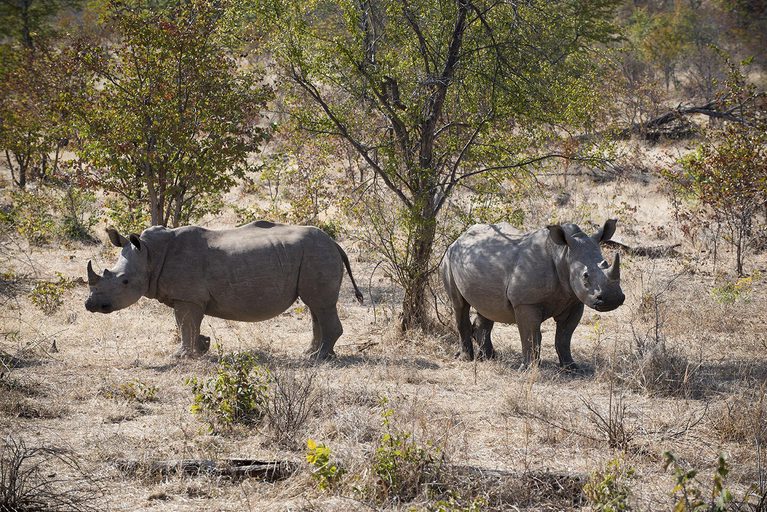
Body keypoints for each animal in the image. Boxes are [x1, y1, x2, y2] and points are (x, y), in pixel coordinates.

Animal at [85, 221, 363, 359]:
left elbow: (185, 324)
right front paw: (201, 348)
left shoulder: (187, 297)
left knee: (320, 305)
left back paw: (319, 358)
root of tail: (334, 242)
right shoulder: (188, 298)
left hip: (318, 253)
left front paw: (181, 356)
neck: (150, 255)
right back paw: (310, 353)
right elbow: (188, 325)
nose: (90, 305)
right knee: (315, 306)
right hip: (313, 254)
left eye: (124, 282)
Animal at [440, 219, 624, 370]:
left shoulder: (574, 301)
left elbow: (564, 336)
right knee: (460, 305)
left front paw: (571, 368)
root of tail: (459, 238)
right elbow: (530, 335)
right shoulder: (526, 302)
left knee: (487, 307)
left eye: (606, 264)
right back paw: (466, 359)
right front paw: (528, 369)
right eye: (585, 276)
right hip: (449, 257)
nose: (612, 299)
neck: (563, 254)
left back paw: (489, 357)